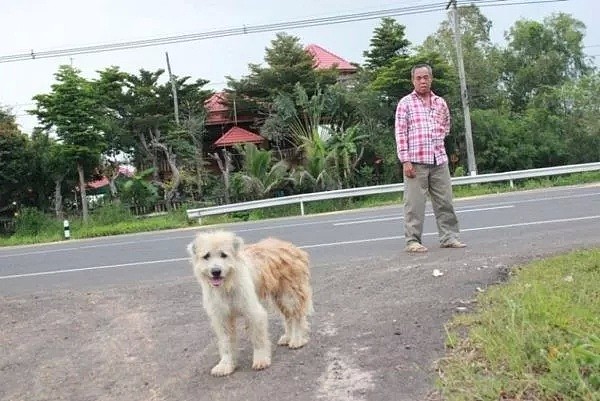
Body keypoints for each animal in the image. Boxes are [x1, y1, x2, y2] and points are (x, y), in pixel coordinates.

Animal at [188, 228, 314, 376]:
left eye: (223, 255)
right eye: (206, 256)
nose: (216, 271)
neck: (228, 286)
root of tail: (290, 246)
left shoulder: (253, 312)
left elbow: (258, 339)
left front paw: (260, 360)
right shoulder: (221, 318)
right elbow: (225, 343)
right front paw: (225, 365)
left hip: (290, 295)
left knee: (297, 317)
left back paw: (297, 339)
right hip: (278, 296)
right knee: (288, 317)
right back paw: (288, 337)